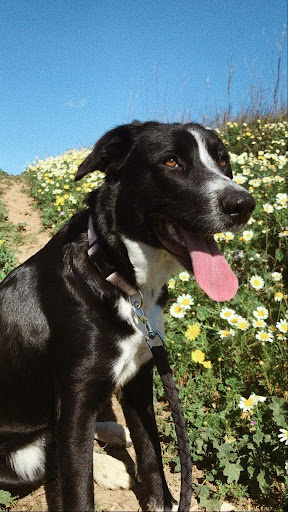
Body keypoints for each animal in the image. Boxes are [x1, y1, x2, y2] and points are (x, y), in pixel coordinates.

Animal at [0, 122, 256, 510]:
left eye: (222, 159)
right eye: (170, 161)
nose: (243, 204)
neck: (118, 277)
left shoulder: (139, 376)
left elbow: (151, 450)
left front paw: (164, 500)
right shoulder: (77, 397)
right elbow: (77, 487)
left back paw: (112, 433)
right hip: (16, 465)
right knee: (48, 454)